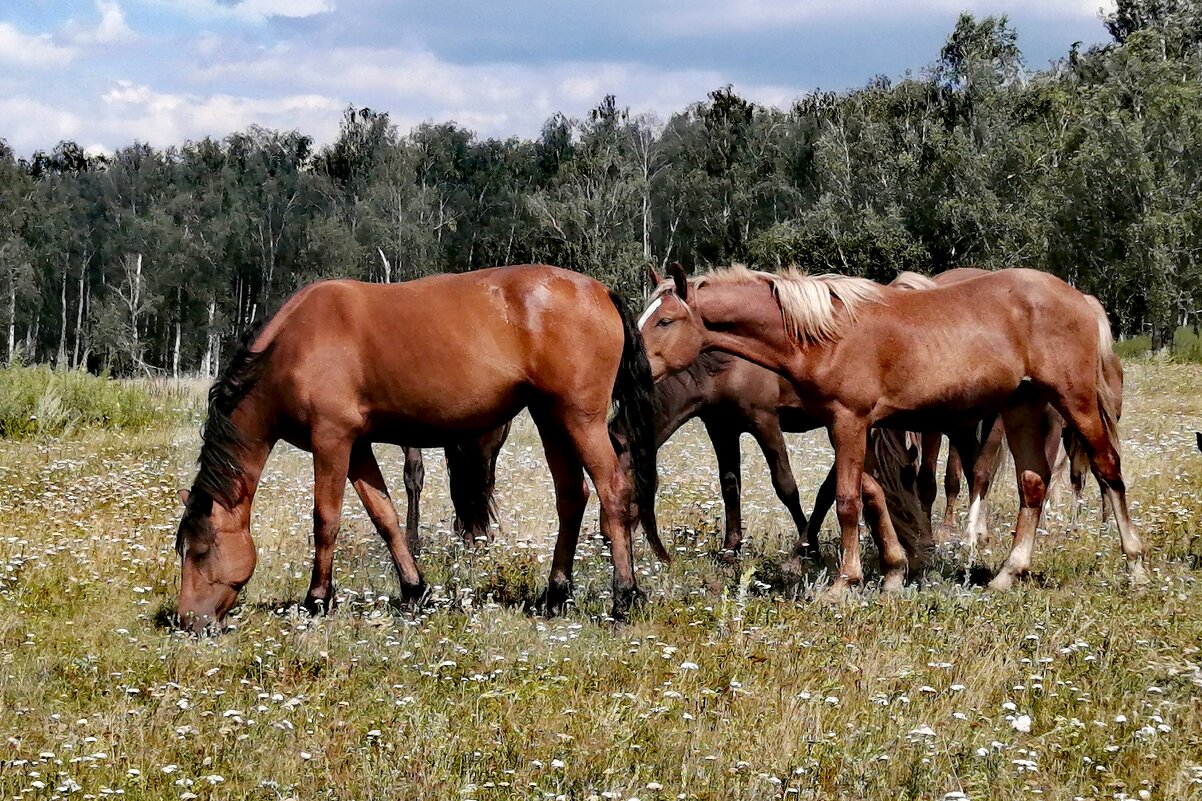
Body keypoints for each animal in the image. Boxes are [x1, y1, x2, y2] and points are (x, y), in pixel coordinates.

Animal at [176, 263, 663, 630]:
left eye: (200, 551)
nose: (187, 621)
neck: (291, 346)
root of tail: (601, 291)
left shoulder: (331, 440)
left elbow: (325, 520)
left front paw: (317, 599)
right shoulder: (358, 446)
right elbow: (385, 517)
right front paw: (414, 590)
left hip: (580, 420)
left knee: (613, 492)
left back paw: (624, 596)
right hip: (551, 419)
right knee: (571, 497)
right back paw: (556, 595)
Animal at [644, 264, 1149, 596]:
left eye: (665, 320)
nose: (635, 368)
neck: (825, 335)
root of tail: (1081, 298)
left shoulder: (848, 420)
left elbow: (846, 500)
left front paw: (843, 583)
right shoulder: (859, 426)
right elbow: (871, 495)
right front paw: (892, 571)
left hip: (1074, 401)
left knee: (1107, 469)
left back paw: (1136, 566)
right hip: (1022, 407)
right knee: (1033, 483)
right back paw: (1008, 574)